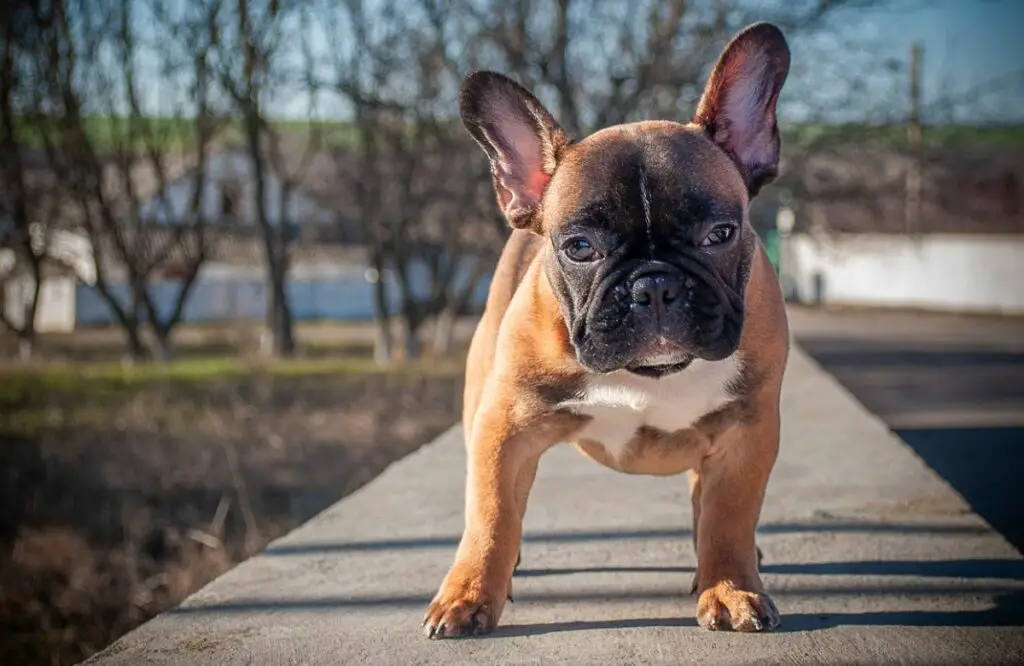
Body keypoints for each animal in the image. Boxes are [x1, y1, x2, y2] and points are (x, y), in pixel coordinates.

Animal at [423, 19, 790, 631]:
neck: (653, 374)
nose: (654, 286)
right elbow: (492, 516)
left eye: (720, 233)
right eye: (580, 247)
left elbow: (729, 517)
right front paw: (468, 596)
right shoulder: (504, 428)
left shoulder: (747, 430)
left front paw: (731, 588)